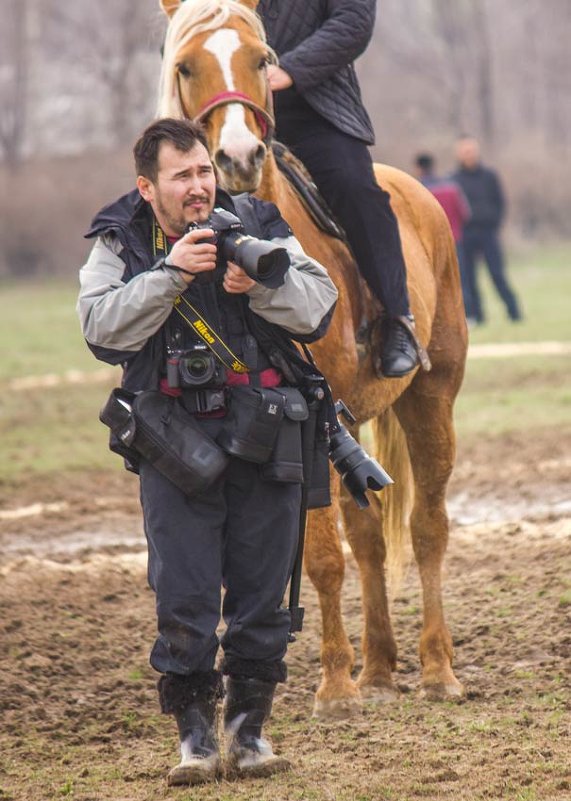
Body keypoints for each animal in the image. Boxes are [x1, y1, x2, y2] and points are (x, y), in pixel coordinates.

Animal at [158, 0, 470, 716]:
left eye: (264, 59)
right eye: (186, 65)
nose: (237, 156)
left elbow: (324, 553)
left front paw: (334, 687)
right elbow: (328, 550)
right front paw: (342, 679)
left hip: (431, 399)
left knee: (428, 526)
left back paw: (436, 669)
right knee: (369, 536)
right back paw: (378, 669)